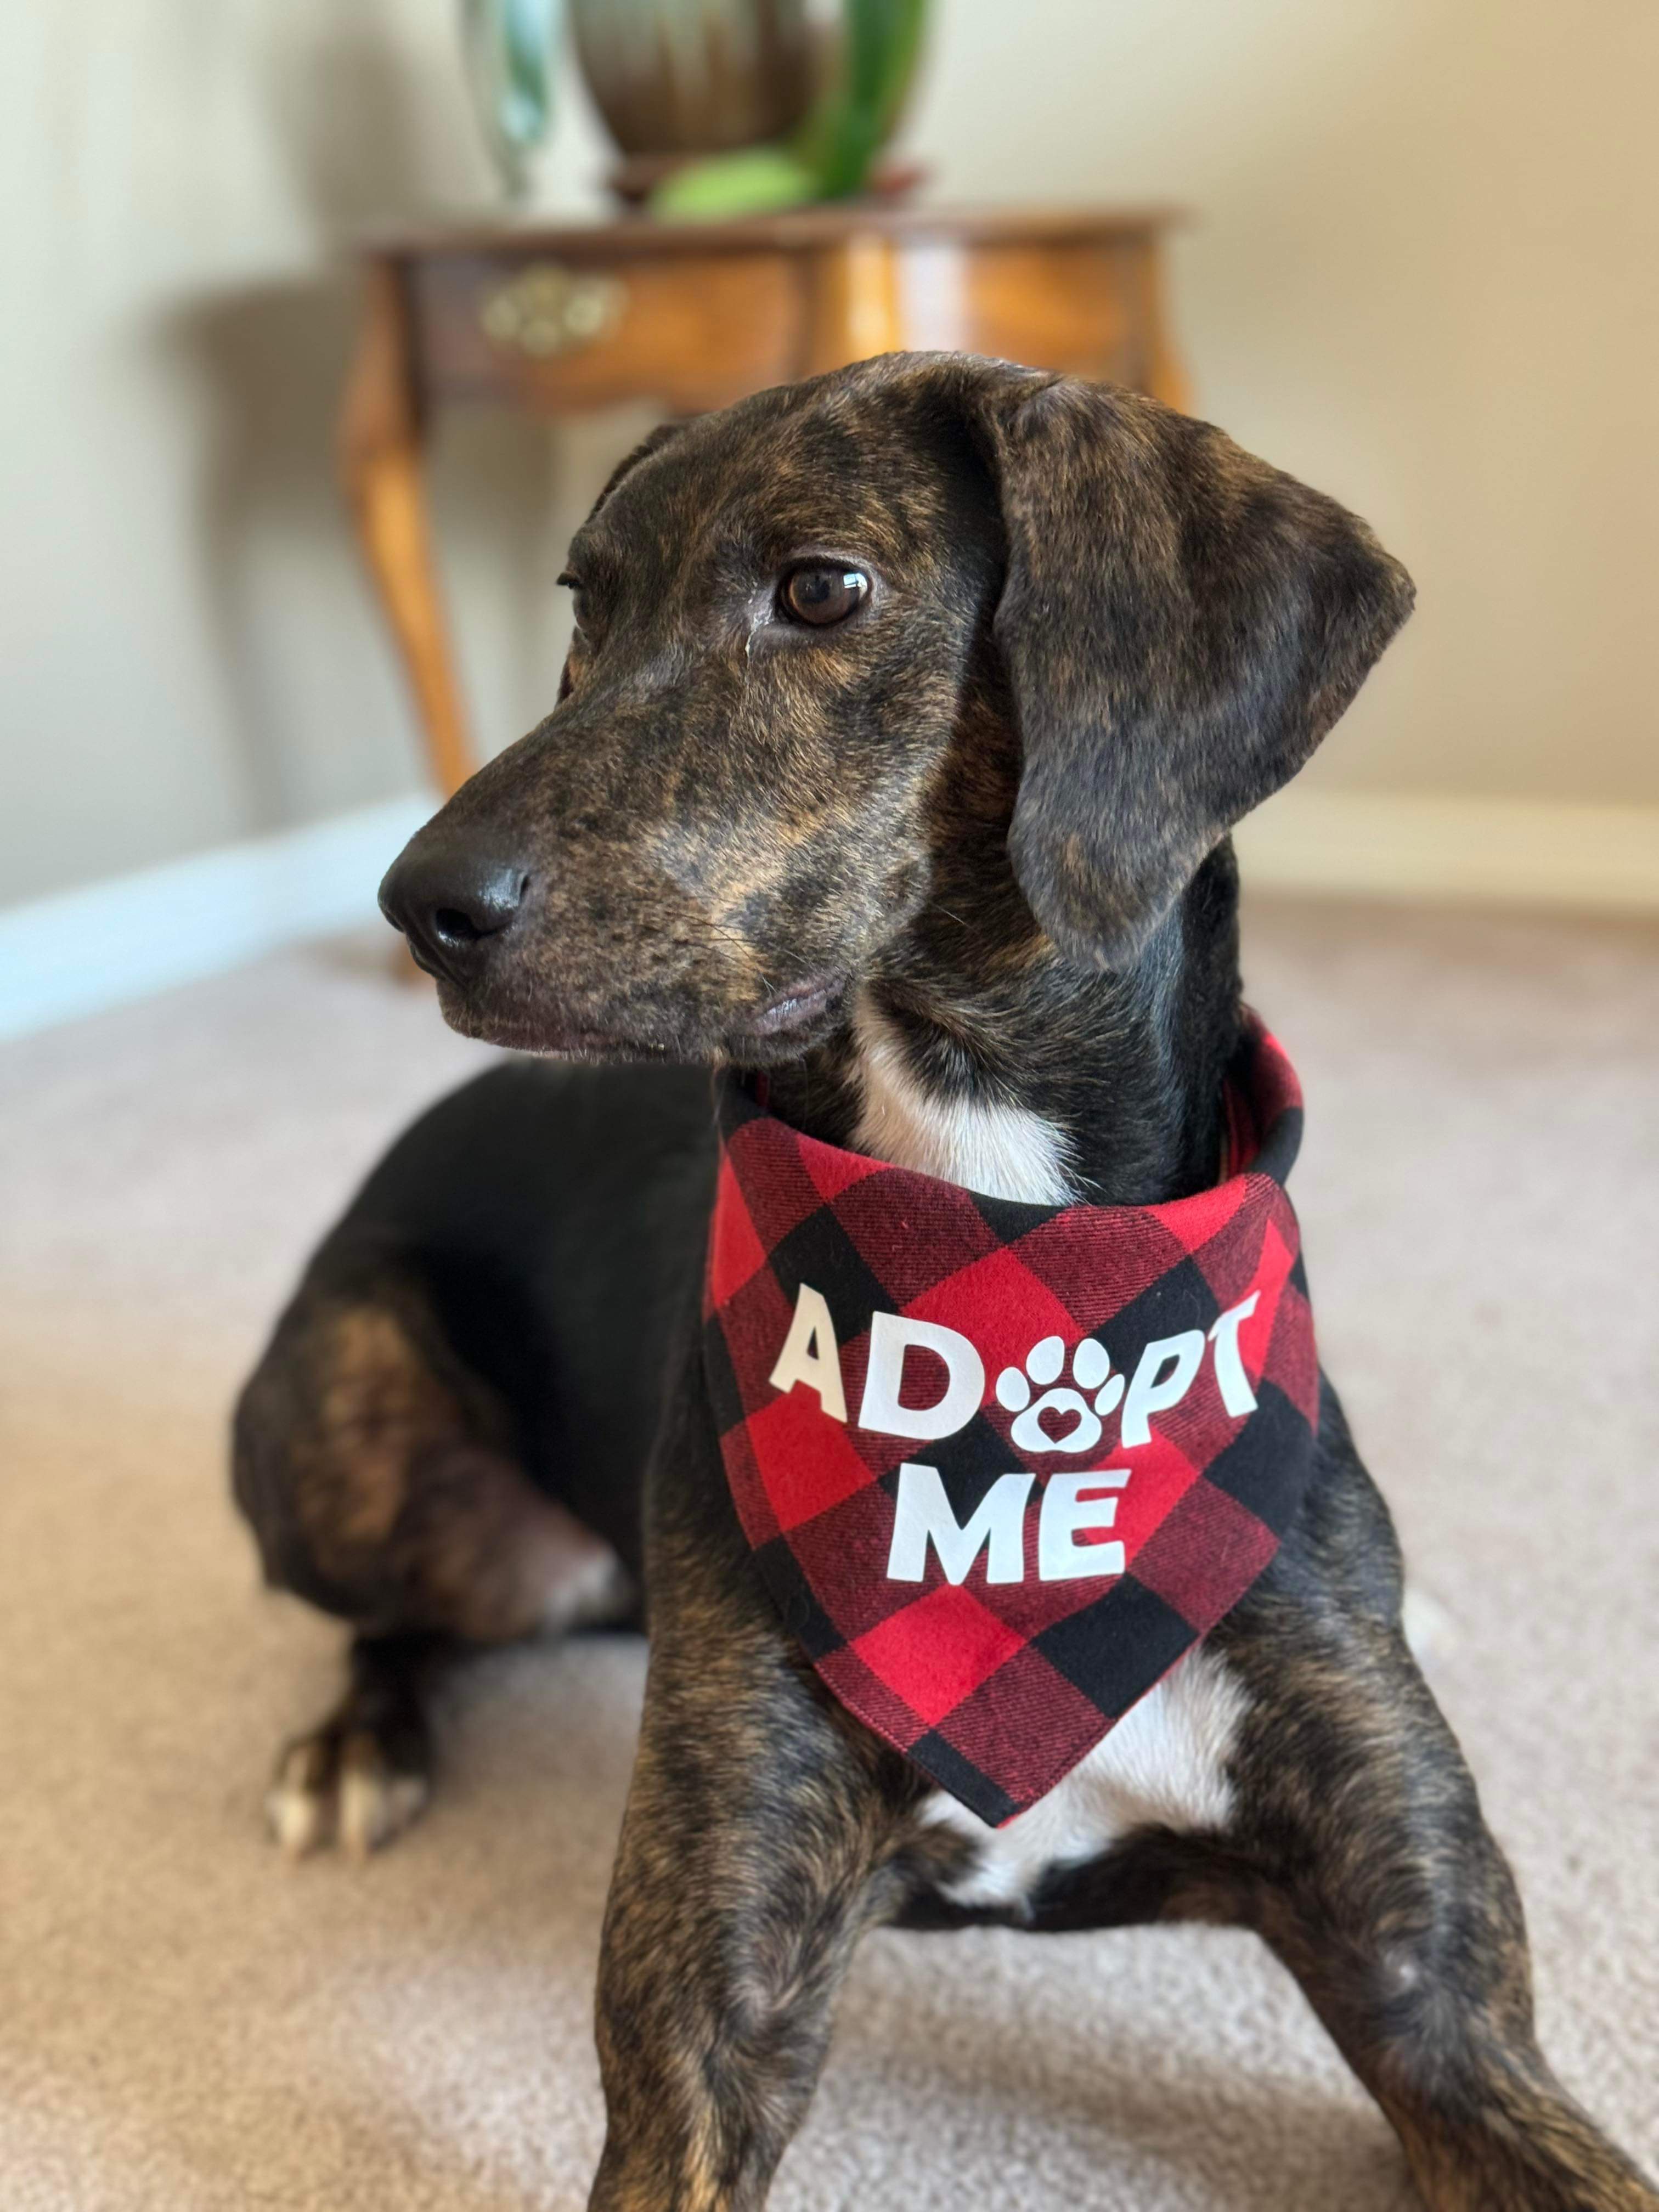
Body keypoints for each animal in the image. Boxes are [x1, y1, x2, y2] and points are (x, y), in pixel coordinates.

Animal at [236, 358, 1659, 2212]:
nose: (419, 906)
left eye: (823, 589)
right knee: (391, 1614)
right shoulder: (712, 2018)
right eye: (584, 604)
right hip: (339, 1426)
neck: (995, 1245)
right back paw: (355, 1750)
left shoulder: (1440, 2008)